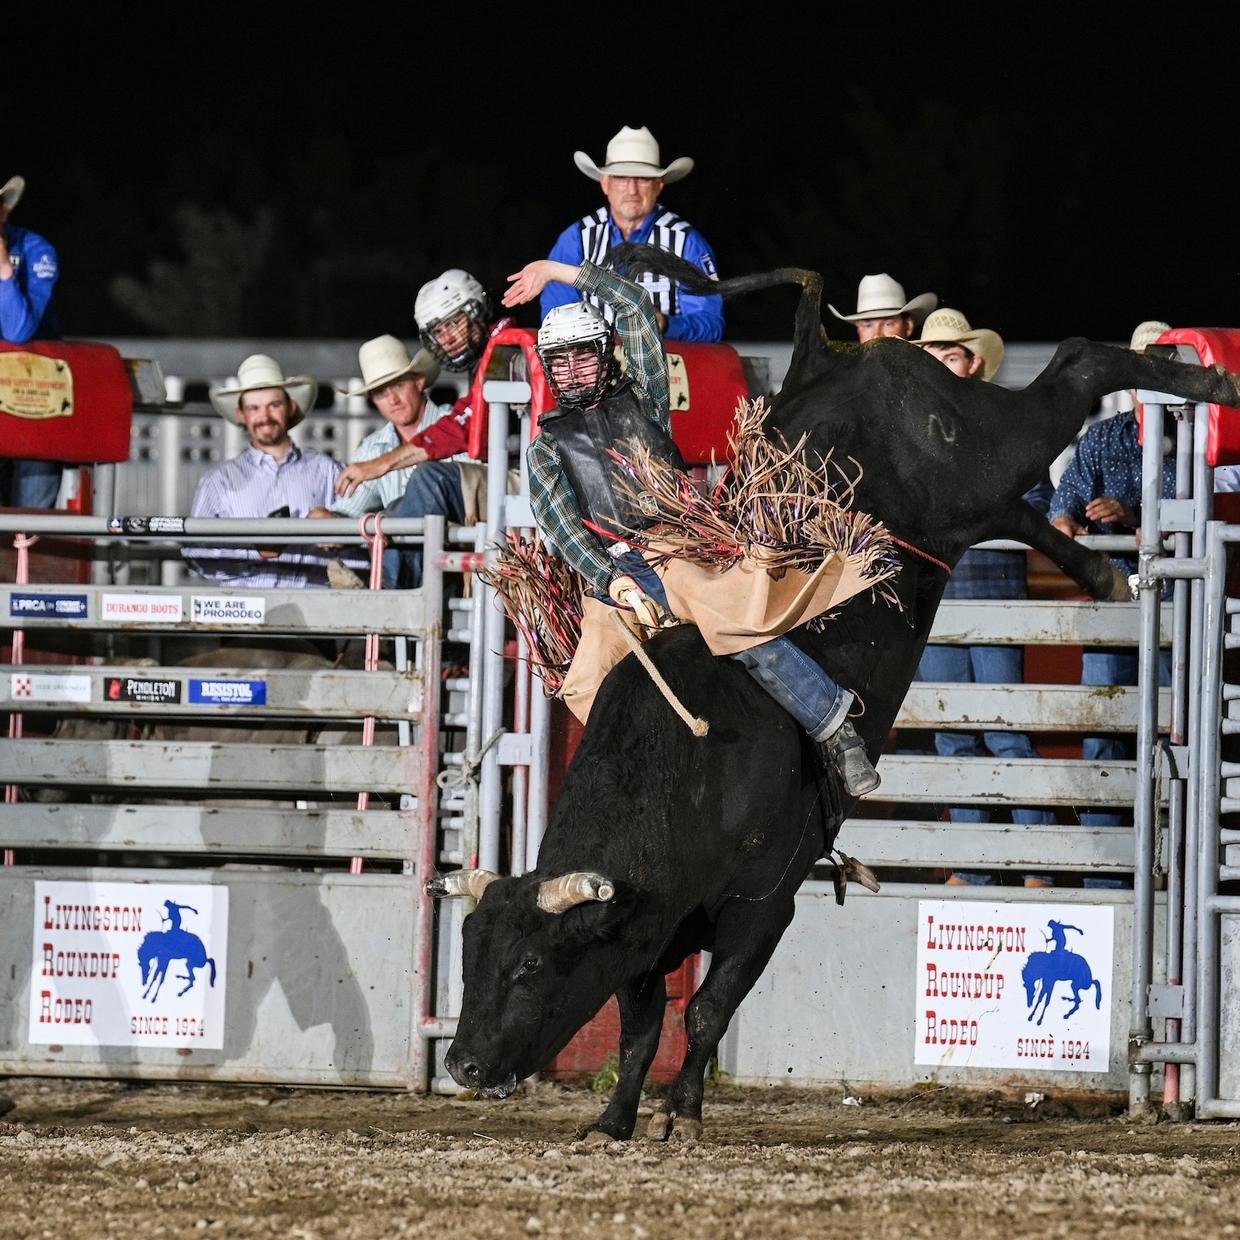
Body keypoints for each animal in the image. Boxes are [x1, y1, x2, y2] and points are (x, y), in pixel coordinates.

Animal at [429, 244, 1240, 1140]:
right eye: (469, 953)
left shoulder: (766, 905)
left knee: (1076, 364)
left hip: (988, 445)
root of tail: (844, 355)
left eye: (531, 962)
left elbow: (706, 1009)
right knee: (1015, 508)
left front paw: (684, 1113)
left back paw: (1204, 381)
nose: (463, 1065)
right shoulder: (646, 930)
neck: (685, 773)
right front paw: (613, 1119)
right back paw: (1103, 571)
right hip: (967, 504)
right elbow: (642, 1022)